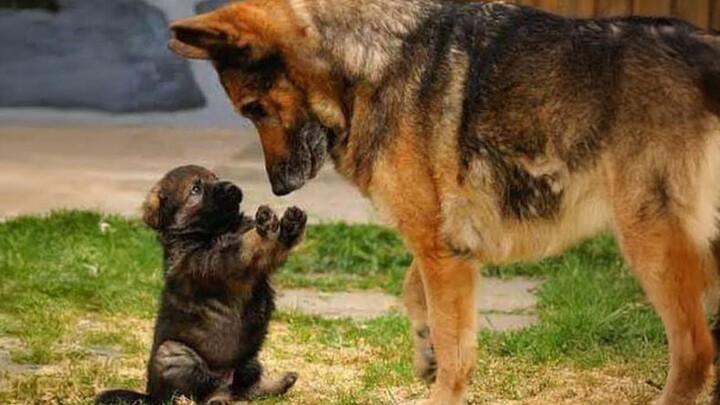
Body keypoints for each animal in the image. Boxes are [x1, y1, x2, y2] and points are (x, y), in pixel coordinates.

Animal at [95, 165, 304, 404]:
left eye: (215, 178)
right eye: (196, 189)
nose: (232, 188)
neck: (219, 229)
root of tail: (151, 395)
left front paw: (290, 225)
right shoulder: (221, 261)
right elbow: (249, 244)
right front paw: (268, 229)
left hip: (249, 360)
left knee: (247, 388)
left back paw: (279, 383)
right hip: (172, 355)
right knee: (208, 390)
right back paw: (219, 398)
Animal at [170, 1, 720, 402]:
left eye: (254, 109)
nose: (280, 188)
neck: (367, 65)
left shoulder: (440, 250)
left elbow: (457, 350)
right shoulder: (443, 247)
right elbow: (415, 296)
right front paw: (425, 350)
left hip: (650, 244)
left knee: (695, 355)